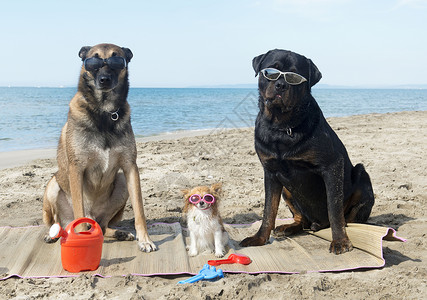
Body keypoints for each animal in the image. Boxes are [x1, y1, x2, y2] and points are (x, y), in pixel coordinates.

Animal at [42, 42, 157, 253]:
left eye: (117, 61)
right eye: (93, 62)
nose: (104, 80)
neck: (104, 112)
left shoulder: (130, 168)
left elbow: (139, 210)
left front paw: (145, 239)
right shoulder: (76, 169)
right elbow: (79, 211)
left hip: (121, 183)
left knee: (102, 227)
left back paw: (119, 233)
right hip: (53, 185)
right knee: (58, 224)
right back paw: (53, 234)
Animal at [241, 49, 374, 255]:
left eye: (295, 77)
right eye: (271, 72)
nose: (281, 85)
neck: (282, 126)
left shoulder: (332, 166)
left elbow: (334, 208)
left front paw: (340, 240)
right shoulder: (270, 172)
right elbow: (268, 210)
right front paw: (259, 238)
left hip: (361, 175)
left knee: (351, 218)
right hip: (287, 189)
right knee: (300, 219)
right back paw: (289, 227)